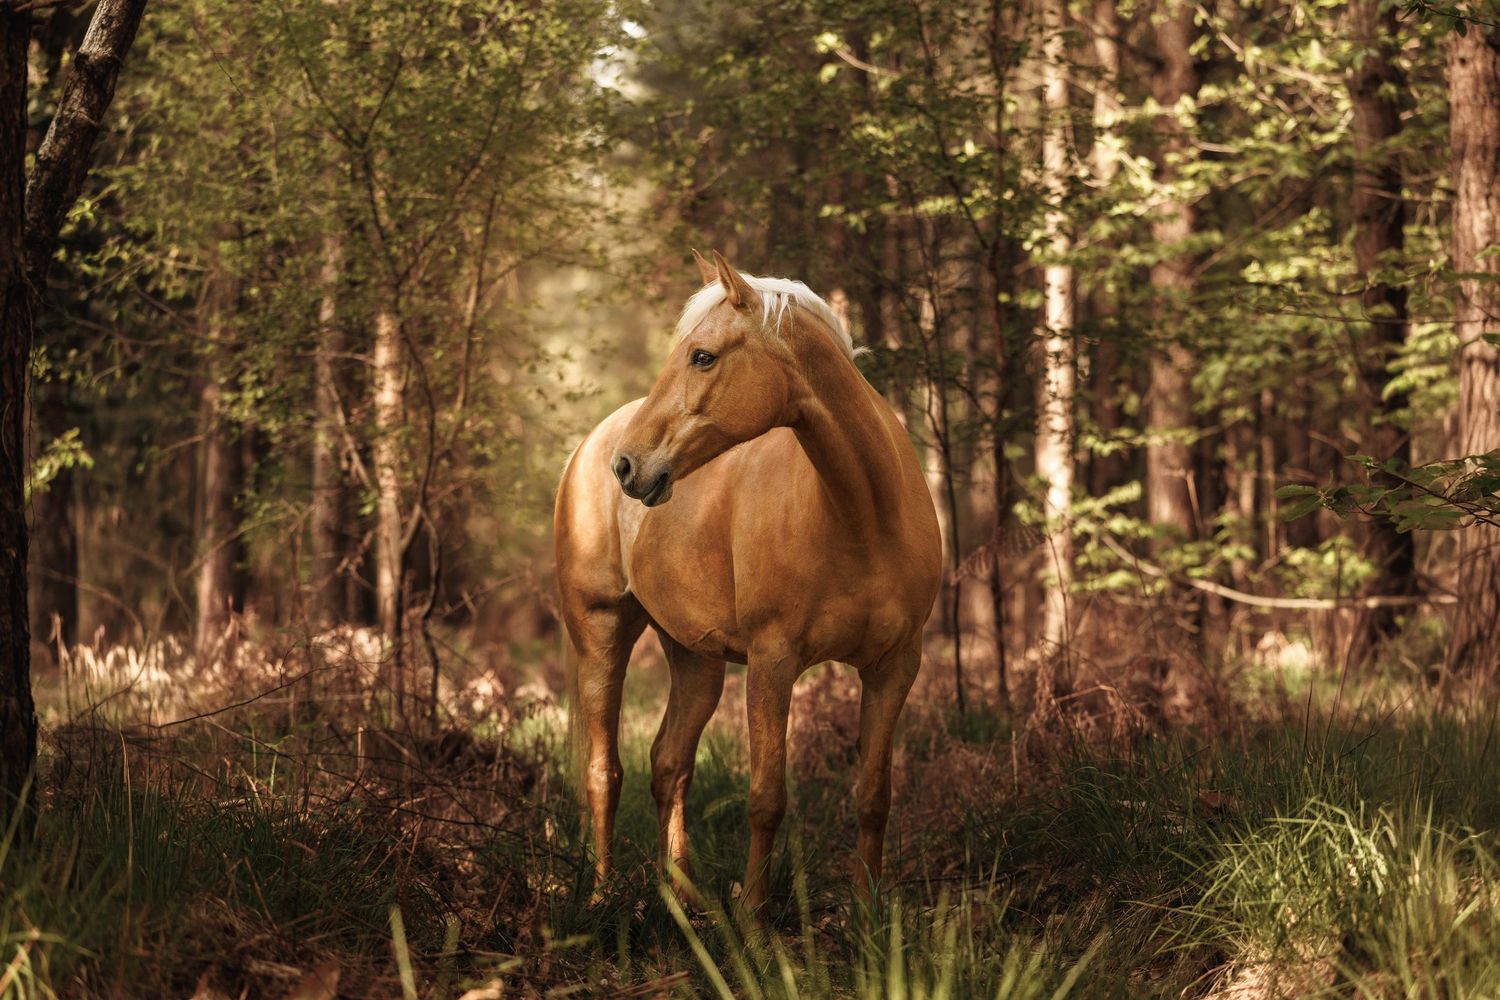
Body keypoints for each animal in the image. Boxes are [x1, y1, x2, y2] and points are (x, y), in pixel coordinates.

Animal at [554, 249, 941, 913]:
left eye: (702, 356)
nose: (627, 466)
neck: (863, 515)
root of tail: (586, 448)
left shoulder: (894, 667)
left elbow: (873, 796)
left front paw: (867, 916)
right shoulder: (772, 662)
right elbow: (767, 799)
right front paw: (755, 921)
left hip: (694, 658)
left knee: (669, 764)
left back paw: (684, 897)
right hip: (601, 634)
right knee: (605, 771)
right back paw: (603, 896)